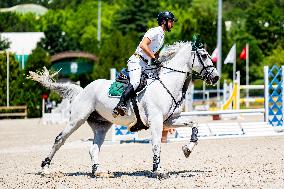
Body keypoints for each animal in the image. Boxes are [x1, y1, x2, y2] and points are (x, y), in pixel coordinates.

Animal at [28, 40, 219, 179]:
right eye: (204, 55)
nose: (216, 77)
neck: (167, 83)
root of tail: (83, 90)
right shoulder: (157, 121)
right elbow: (156, 145)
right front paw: (158, 170)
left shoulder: (169, 120)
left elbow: (194, 124)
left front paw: (188, 149)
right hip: (77, 119)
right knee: (59, 139)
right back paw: (45, 168)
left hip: (101, 126)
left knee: (93, 148)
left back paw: (98, 171)